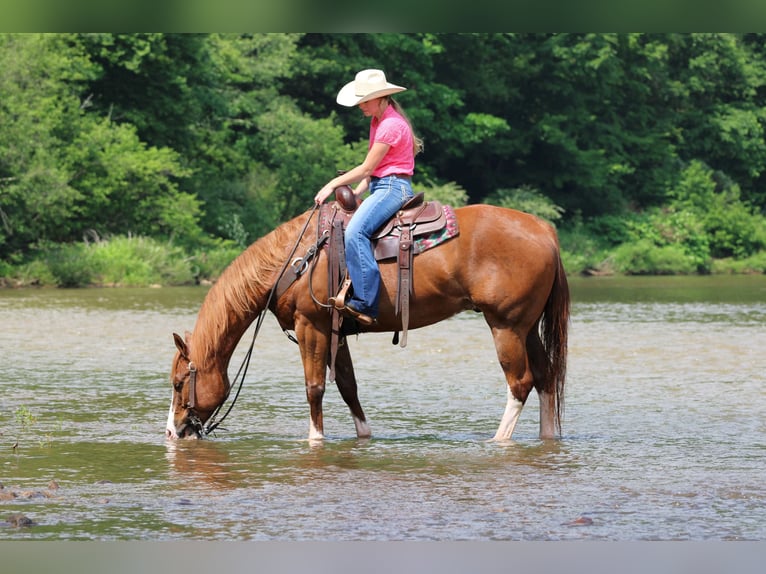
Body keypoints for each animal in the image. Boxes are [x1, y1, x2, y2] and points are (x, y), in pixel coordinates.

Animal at [165, 201, 570, 442]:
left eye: (178, 383)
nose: (172, 432)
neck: (295, 260)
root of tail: (544, 230)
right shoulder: (336, 332)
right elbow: (348, 387)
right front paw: (364, 436)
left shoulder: (311, 326)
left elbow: (315, 387)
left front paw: (315, 439)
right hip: (526, 327)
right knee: (546, 376)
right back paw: (547, 437)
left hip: (505, 326)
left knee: (520, 382)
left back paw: (499, 440)